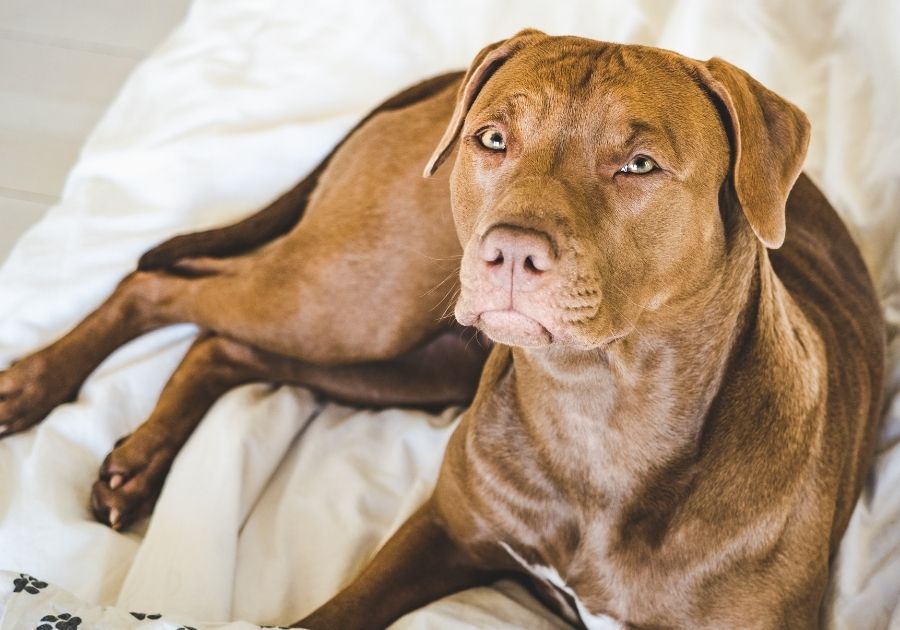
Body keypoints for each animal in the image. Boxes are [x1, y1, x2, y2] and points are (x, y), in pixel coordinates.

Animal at [0, 28, 884, 628]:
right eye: (494, 139)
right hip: (354, 302)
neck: (598, 413)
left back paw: (138, 461)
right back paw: (36, 389)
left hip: (405, 360)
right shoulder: (440, 532)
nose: (511, 250)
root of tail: (440, 84)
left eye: (640, 164)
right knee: (159, 287)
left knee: (225, 345)